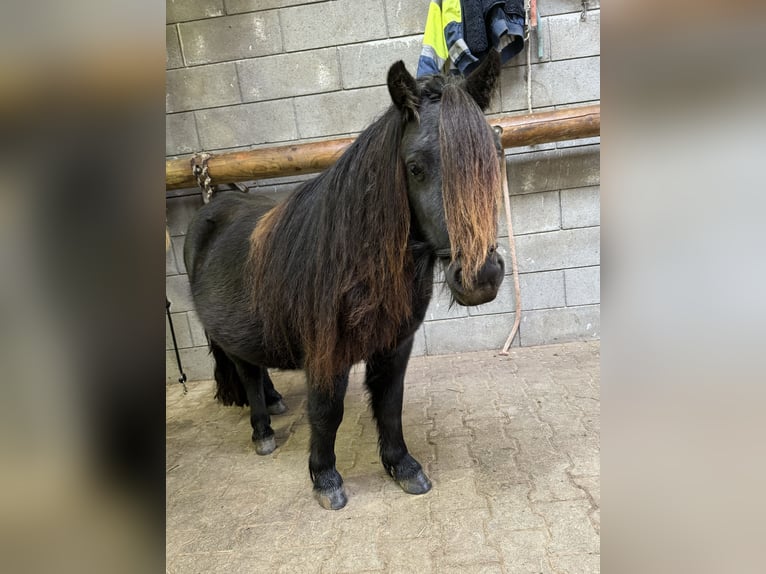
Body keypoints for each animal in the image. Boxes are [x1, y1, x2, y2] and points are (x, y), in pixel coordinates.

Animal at [185, 55, 508, 512]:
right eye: (415, 167)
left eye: (495, 154)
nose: (480, 277)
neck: (354, 260)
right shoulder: (326, 354)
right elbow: (326, 411)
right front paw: (325, 479)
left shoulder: (396, 344)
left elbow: (390, 404)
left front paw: (403, 467)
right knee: (246, 372)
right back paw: (262, 430)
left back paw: (274, 401)